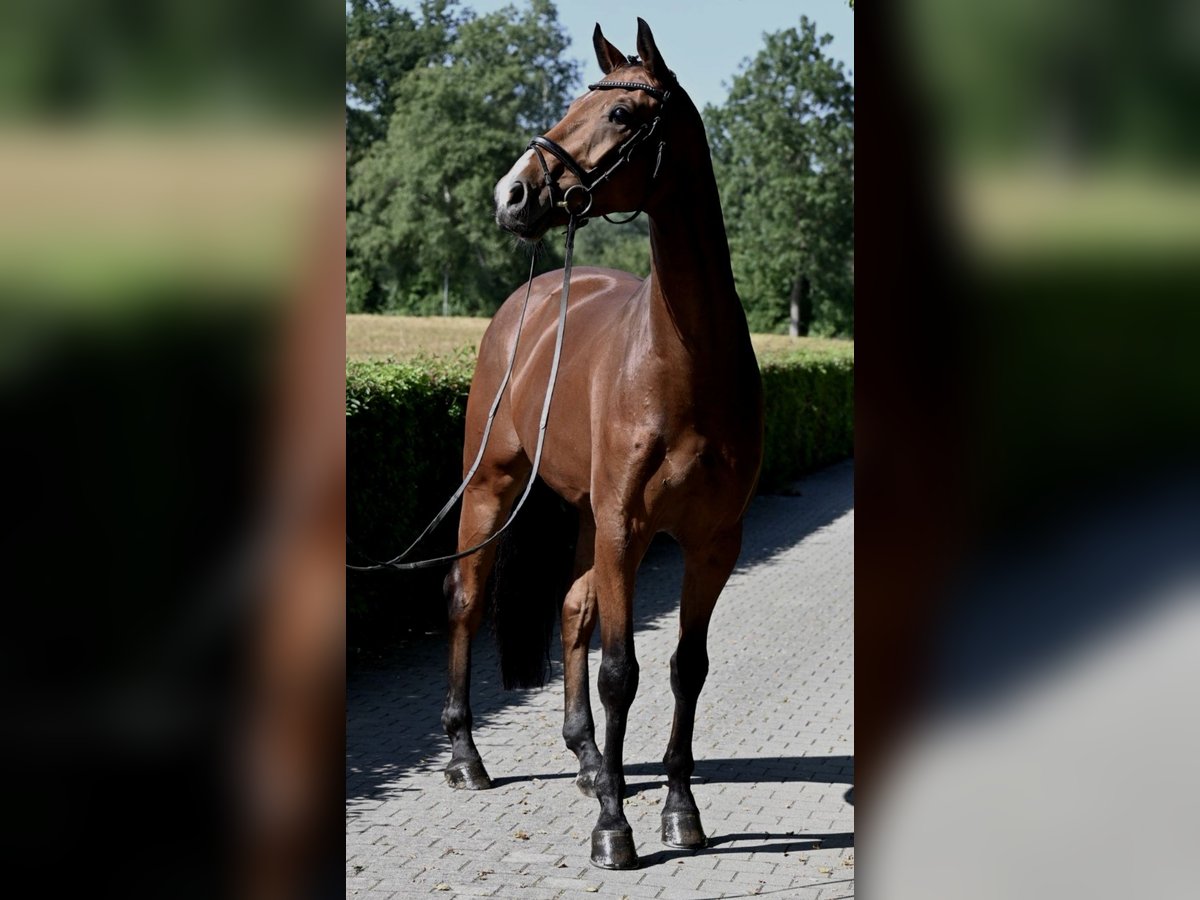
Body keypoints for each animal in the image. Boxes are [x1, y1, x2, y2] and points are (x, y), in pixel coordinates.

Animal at [441, 18, 764, 870]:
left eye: (621, 114)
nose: (512, 194)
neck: (685, 362)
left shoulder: (712, 541)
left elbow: (687, 667)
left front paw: (679, 808)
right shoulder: (628, 528)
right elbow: (623, 671)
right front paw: (614, 828)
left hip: (586, 514)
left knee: (572, 607)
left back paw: (590, 760)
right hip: (493, 486)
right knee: (467, 598)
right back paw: (466, 756)